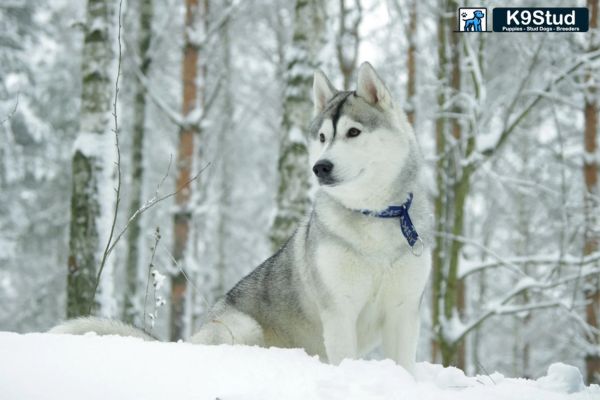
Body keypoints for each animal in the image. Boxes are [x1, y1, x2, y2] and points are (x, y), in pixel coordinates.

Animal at [49, 61, 428, 372]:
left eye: (353, 132)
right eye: (323, 137)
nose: (320, 167)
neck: (374, 217)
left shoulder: (403, 310)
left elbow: (405, 366)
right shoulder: (339, 311)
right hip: (242, 327)